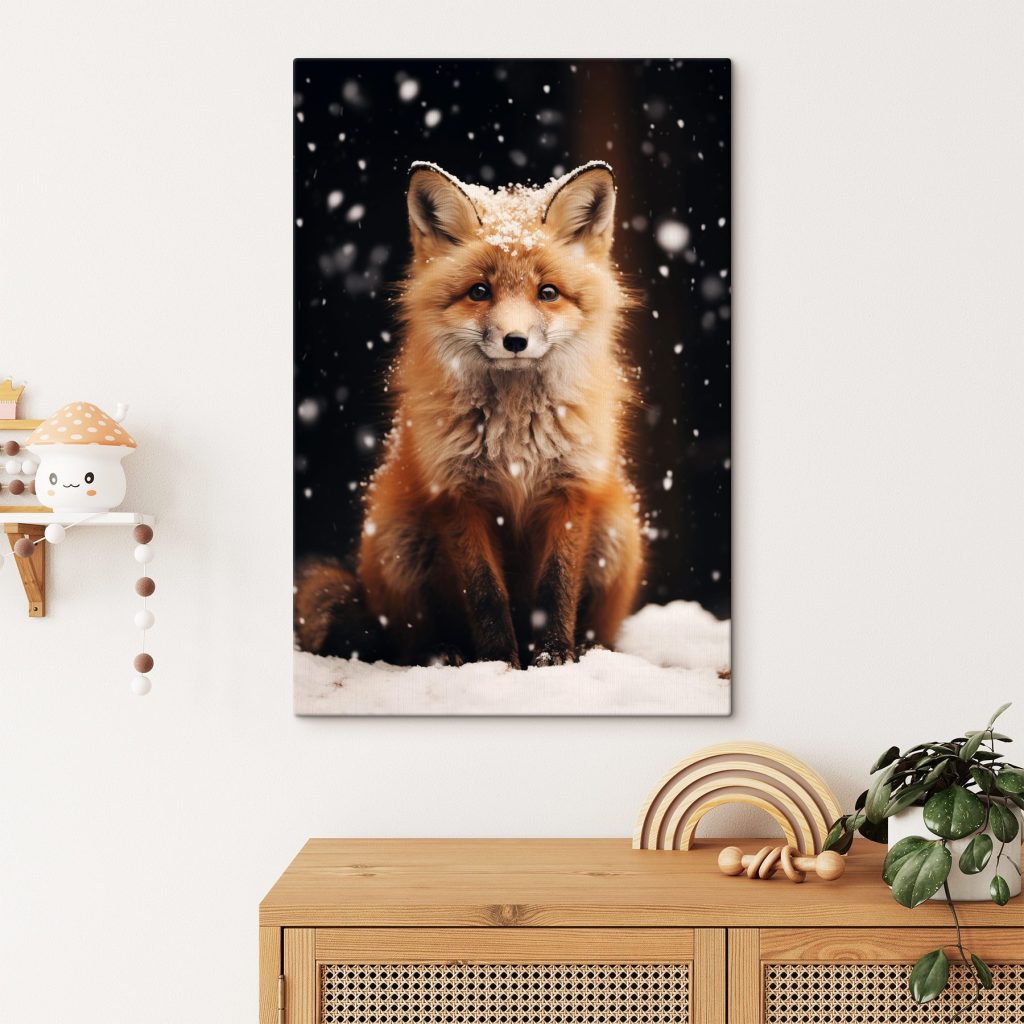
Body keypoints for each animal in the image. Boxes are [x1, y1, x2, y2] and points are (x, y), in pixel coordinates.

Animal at [295, 160, 644, 668]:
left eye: (548, 293)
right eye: (479, 291)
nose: (515, 340)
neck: (516, 433)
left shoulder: (571, 488)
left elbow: (556, 588)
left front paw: (553, 658)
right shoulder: (457, 493)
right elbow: (485, 595)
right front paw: (499, 663)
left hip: (618, 532)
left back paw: (591, 649)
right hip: (399, 543)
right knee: (405, 640)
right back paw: (442, 652)